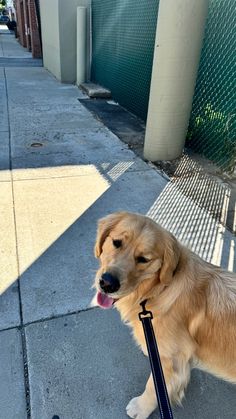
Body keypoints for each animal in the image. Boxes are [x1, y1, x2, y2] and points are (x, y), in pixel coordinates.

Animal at [92, 213, 236, 419]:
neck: (158, 290)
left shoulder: (172, 361)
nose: (107, 283)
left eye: (143, 259)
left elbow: (154, 387)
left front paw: (140, 408)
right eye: (116, 242)